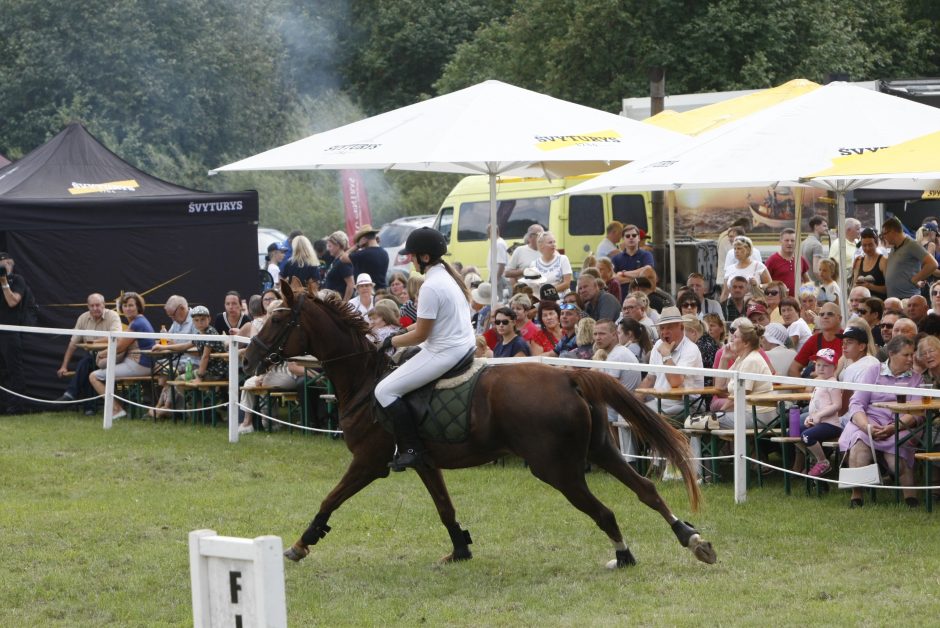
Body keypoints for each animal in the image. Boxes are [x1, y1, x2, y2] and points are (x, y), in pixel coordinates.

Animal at [246, 284, 716, 568]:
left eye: (277, 320)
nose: (250, 359)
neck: (364, 379)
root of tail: (569, 375)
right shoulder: (423, 461)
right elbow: (445, 507)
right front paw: (459, 549)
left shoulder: (369, 461)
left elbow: (330, 499)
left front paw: (302, 543)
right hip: (600, 449)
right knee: (646, 489)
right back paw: (692, 540)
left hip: (557, 469)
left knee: (605, 511)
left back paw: (624, 555)